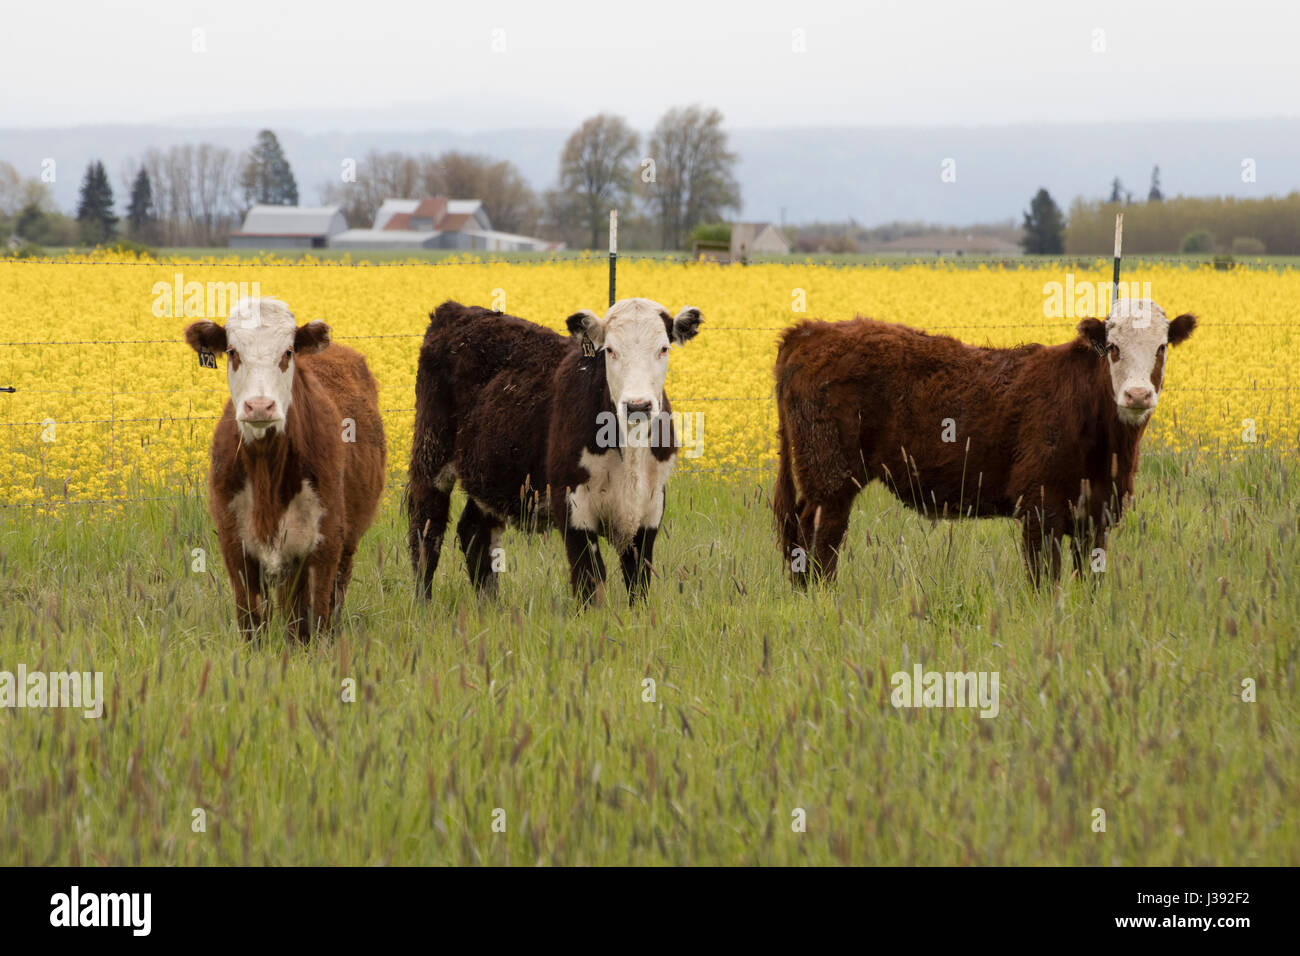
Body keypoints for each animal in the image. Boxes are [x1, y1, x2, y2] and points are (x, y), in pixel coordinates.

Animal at [185, 300, 384, 642]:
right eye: (233, 351)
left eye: (288, 351)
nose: (259, 406)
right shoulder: (235, 543)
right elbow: (253, 622)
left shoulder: (323, 544)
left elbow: (310, 624)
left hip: (346, 543)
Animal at [408, 297, 702, 606]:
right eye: (610, 350)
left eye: (663, 348)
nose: (637, 405)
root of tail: (456, 309)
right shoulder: (572, 503)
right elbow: (589, 578)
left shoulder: (649, 507)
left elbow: (638, 581)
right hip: (431, 454)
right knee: (426, 531)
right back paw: (424, 604)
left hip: (492, 473)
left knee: (475, 532)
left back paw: (490, 607)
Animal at [769, 295, 1196, 587]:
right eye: (1112, 348)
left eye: (1161, 348)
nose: (1138, 394)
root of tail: (810, 330)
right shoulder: (1039, 507)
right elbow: (1044, 583)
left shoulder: (1098, 515)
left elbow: (1089, 582)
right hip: (831, 480)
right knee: (819, 542)